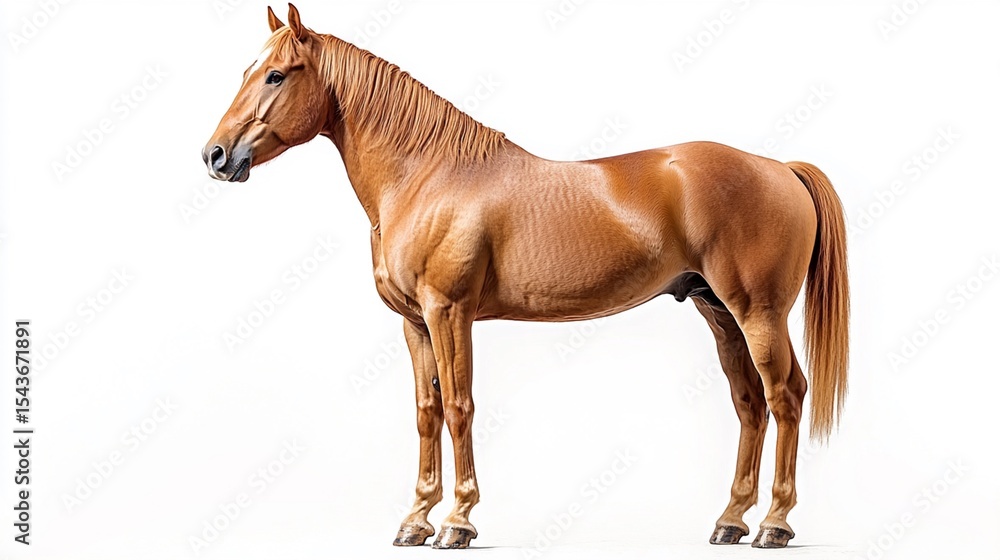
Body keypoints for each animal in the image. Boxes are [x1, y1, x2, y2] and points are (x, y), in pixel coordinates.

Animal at [202, 4, 849, 550]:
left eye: (276, 76)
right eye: (247, 70)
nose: (215, 156)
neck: (426, 176)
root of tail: (779, 168)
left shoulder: (449, 312)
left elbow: (458, 405)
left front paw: (458, 521)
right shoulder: (414, 323)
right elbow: (426, 412)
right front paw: (415, 521)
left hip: (758, 312)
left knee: (786, 395)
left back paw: (774, 524)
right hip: (718, 311)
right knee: (750, 403)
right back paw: (730, 521)